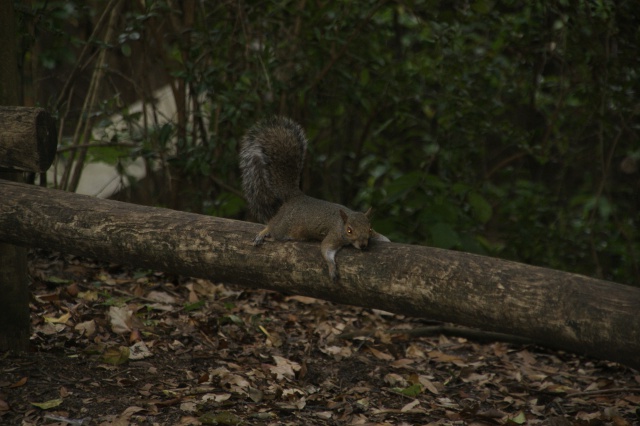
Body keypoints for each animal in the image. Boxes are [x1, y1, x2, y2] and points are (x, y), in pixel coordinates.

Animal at [240, 116, 390, 282]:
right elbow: (326, 250)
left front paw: (386, 240)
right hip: (284, 225)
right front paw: (332, 268)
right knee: (273, 225)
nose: (363, 245)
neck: (341, 223)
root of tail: (296, 197)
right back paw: (263, 233)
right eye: (349, 230)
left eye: (369, 228)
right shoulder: (333, 235)